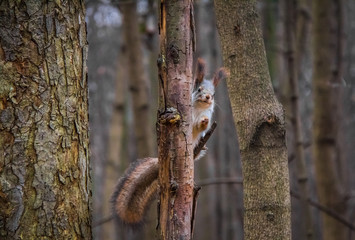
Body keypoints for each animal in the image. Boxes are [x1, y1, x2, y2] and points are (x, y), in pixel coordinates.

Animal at [112, 58, 231, 227]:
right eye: (199, 89)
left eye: (213, 94)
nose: (208, 97)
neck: (198, 108)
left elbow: (202, 126)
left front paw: (204, 121)